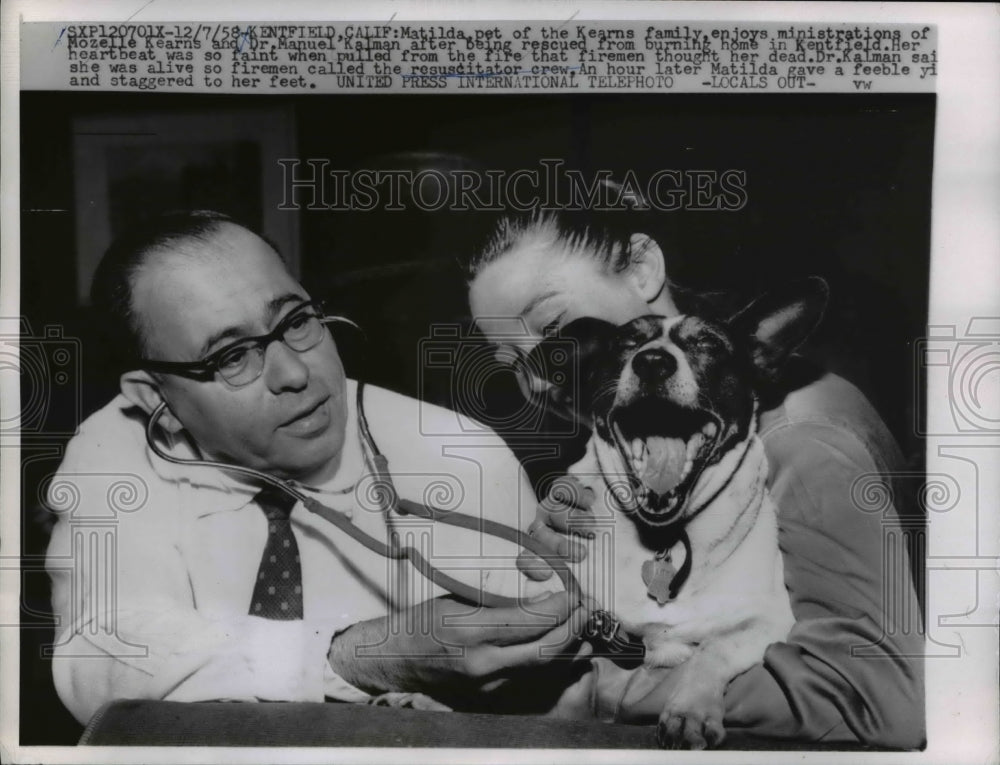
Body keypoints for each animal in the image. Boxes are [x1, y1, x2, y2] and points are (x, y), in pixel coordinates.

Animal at [532, 276, 828, 748]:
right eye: (627, 343)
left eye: (708, 343)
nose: (652, 362)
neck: (662, 538)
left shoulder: (768, 620)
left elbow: (712, 649)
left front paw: (689, 711)